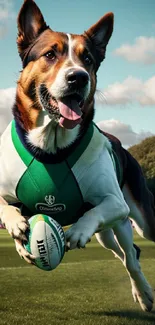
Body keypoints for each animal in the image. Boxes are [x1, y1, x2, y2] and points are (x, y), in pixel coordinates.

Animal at [0, 0, 155, 312]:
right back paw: (140, 291)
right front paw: (17, 229)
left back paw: (144, 293)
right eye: (50, 54)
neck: (51, 146)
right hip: (109, 233)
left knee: (132, 254)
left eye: (88, 60)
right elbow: (4, 205)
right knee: (129, 253)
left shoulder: (113, 202)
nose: (78, 77)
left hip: (136, 219)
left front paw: (76, 232)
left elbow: (93, 213)